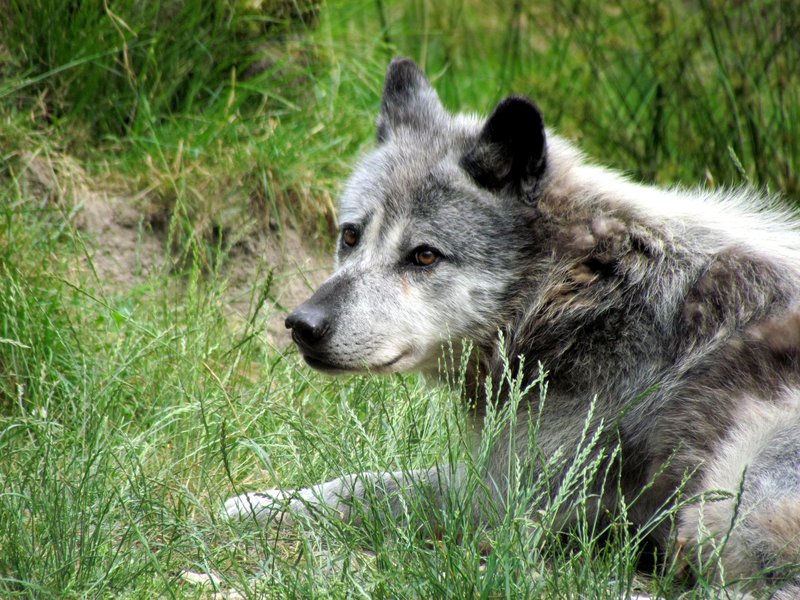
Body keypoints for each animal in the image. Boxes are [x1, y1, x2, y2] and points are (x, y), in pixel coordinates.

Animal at [224, 58, 800, 595]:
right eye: (350, 236)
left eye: (424, 256)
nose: (302, 324)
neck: (582, 291)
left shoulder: (500, 496)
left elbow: (362, 487)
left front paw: (253, 503)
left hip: (722, 495)